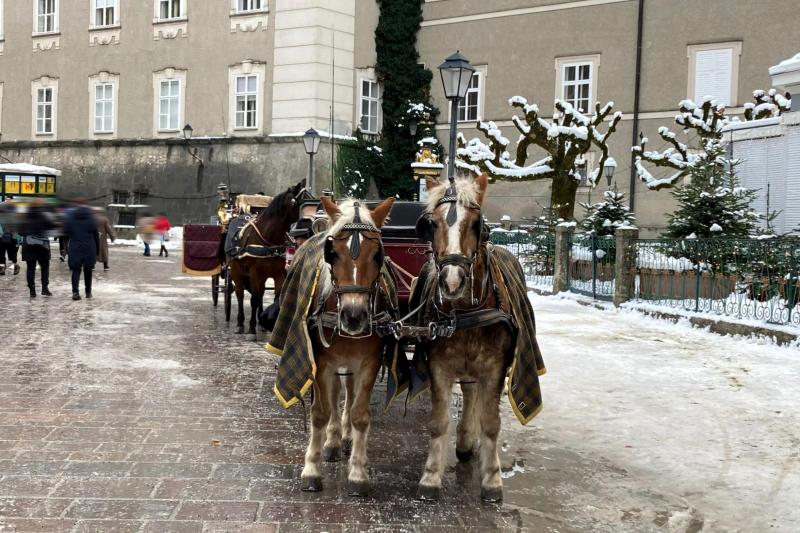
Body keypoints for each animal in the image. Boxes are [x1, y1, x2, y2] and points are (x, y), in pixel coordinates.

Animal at [233, 181, 308, 334]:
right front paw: (251, 328)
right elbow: (254, 299)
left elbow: (276, 296)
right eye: (302, 200)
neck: (269, 240)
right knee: (240, 295)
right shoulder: (255, 272)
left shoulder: (279, 273)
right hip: (237, 272)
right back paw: (240, 323)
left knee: (261, 293)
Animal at [302, 195, 396, 494]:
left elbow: (359, 414)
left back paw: (343, 438)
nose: (354, 316)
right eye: (333, 252)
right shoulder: (322, 363)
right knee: (334, 396)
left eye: (377, 254)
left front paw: (357, 472)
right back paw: (332, 442)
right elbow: (321, 412)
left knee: (349, 393)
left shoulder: (369, 362)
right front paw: (311, 469)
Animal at [412, 176, 512, 502]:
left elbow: (492, 423)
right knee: (469, 392)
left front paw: (492, 479)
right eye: (431, 224)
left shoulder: (495, 367)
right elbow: (438, 421)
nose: (452, 281)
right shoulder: (439, 366)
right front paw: (431, 476)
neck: (466, 313)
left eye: (476, 223)